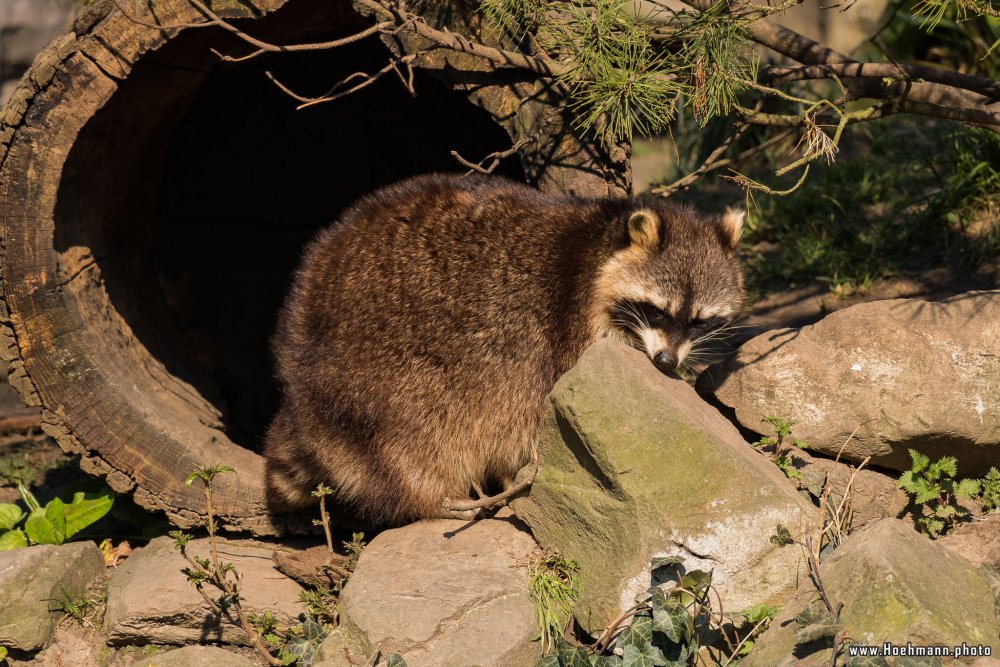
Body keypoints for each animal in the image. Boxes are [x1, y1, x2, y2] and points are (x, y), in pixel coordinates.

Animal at [264, 174, 744, 528]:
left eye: (699, 320)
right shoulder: (561, 338)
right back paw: (436, 499)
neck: (602, 241)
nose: (666, 362)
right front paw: (525, 475)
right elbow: (536, 419)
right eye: (657, 311)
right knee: (416, 440)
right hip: (374, 377)